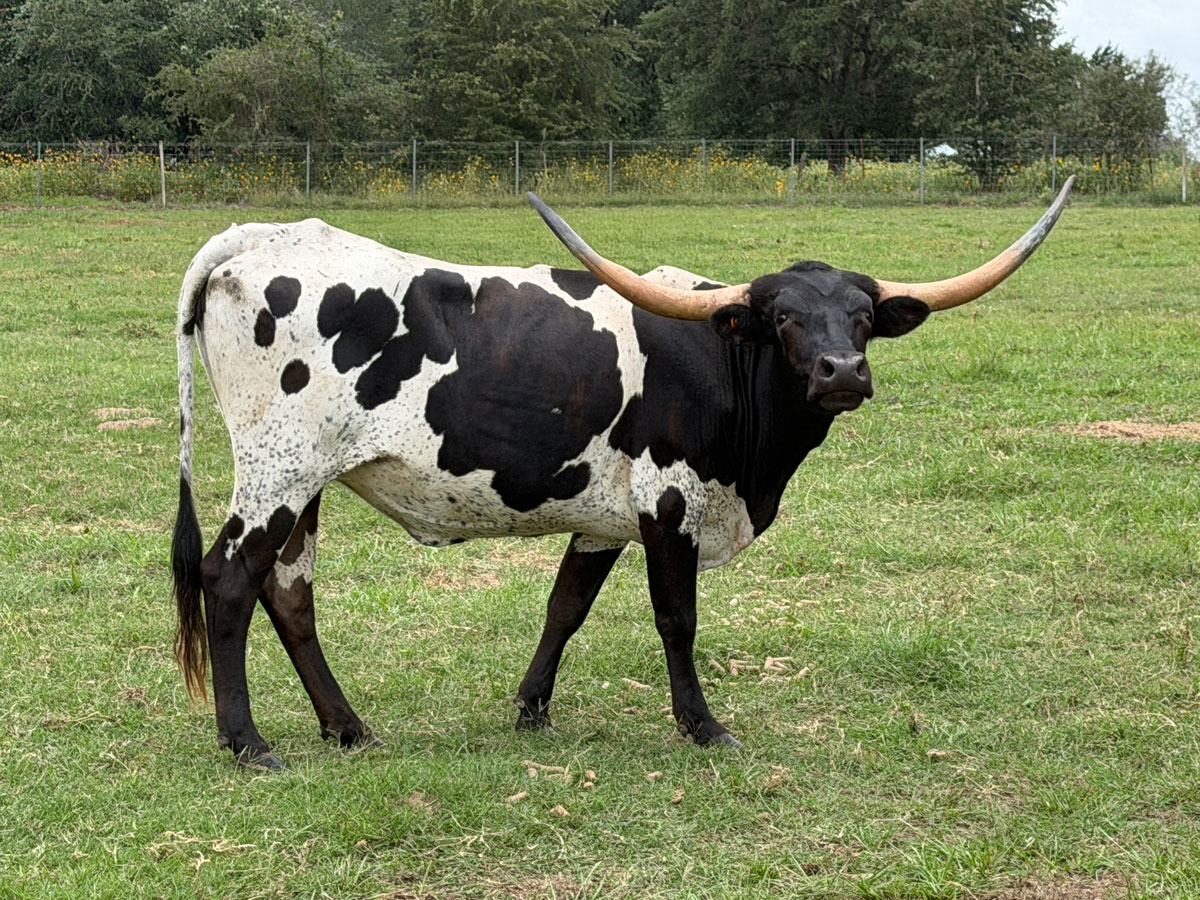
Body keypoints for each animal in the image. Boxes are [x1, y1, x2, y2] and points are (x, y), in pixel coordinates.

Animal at [171, 178, 1074, 768]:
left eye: (861, 319)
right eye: (783, 318)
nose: (842, 373)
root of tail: (257, 235)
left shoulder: (602, 517)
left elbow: (566, 606)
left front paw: (530, 708)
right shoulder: (670, 502)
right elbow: (677, 620)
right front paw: (702, 726)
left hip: (305, 482)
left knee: (289, 594)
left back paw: (348, 728)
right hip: (279, 471)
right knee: (229, 580)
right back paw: (247, 743)